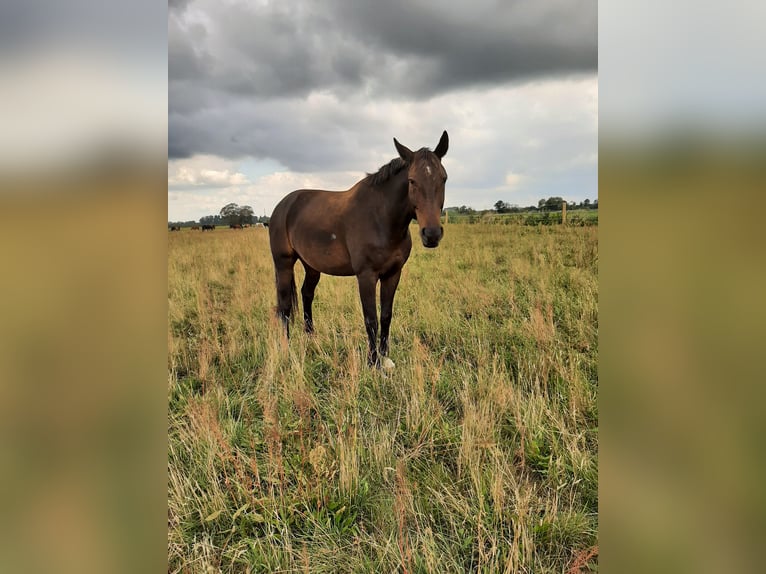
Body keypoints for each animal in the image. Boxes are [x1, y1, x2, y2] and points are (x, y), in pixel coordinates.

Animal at [270, 132, 450, 368]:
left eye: (443, 178)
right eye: (412, 181)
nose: (432, 234)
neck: (381, 219)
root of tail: (283, 205)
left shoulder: (393, 274)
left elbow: (386, 315)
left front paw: (385, 356)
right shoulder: (366, 276)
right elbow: (371, 319)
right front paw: (373, 362)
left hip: (312, 266)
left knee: (307, 295)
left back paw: (311, 339)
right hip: (283, 264)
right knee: (284, 308)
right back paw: (286, 349)